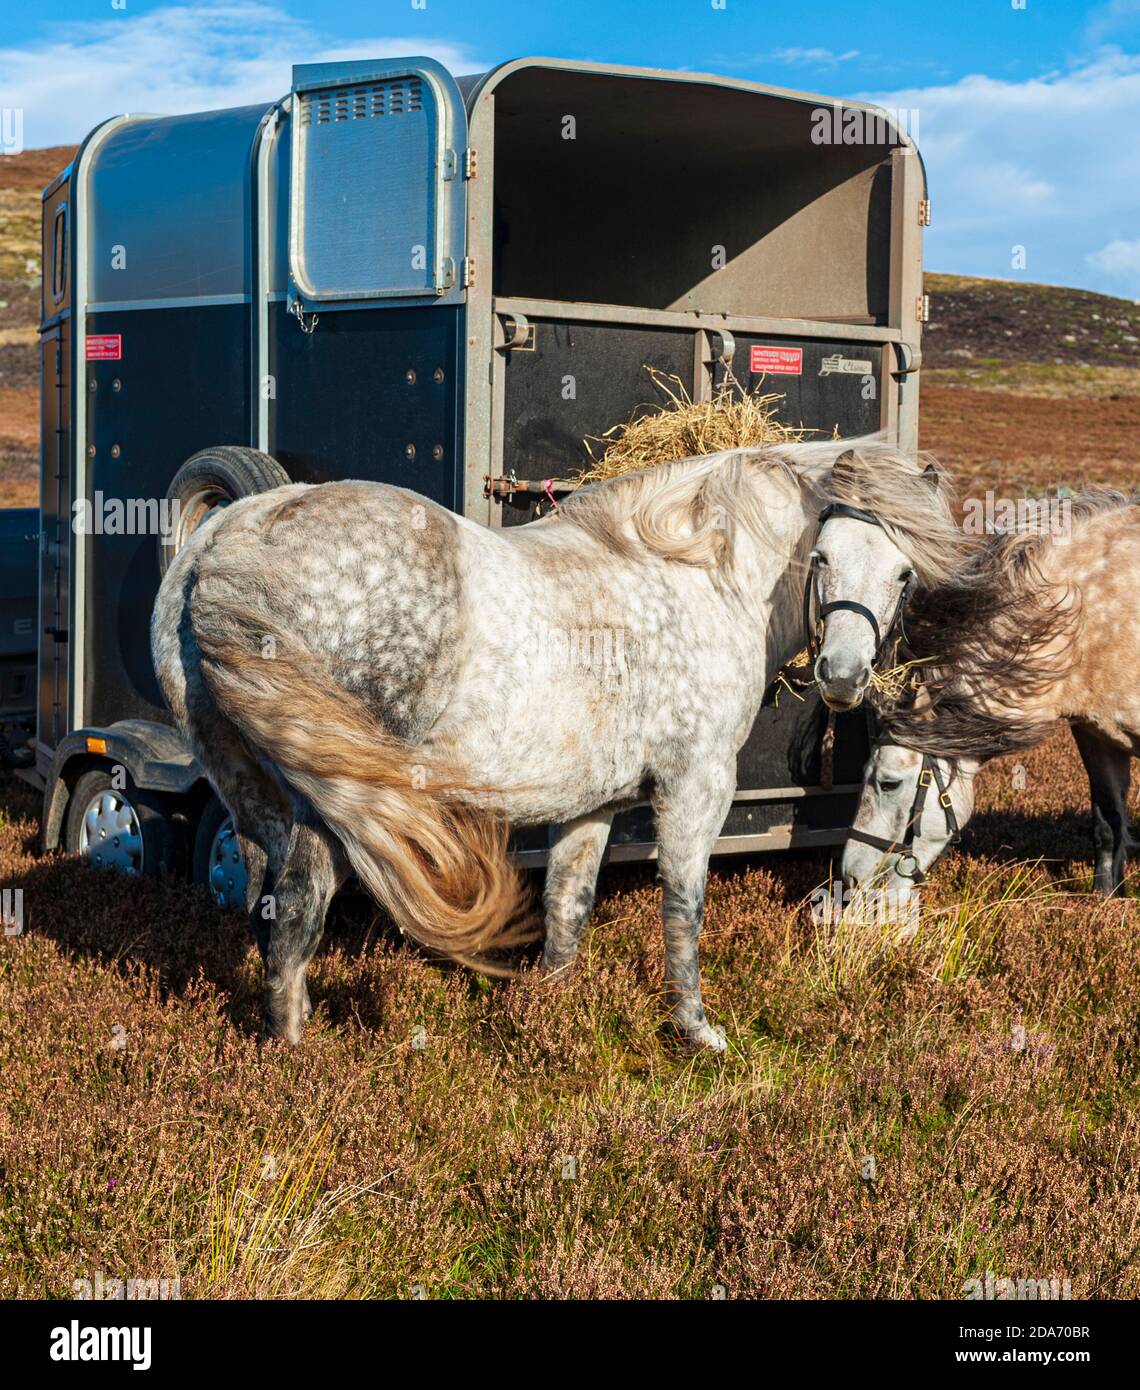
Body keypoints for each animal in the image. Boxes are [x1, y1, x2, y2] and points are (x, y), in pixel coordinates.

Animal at [153, 439, 962, 1045]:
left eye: (904, 572)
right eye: (822, 557)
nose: (844, 677)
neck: (697, 579)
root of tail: (224, 542)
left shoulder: (591, 806)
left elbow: (568, 907)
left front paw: (550, 1011)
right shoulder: (696, 786)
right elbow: (684, 905)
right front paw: (695, 1029)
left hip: (255, 799)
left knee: (270, 912)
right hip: (331, 799)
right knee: (298, 911)